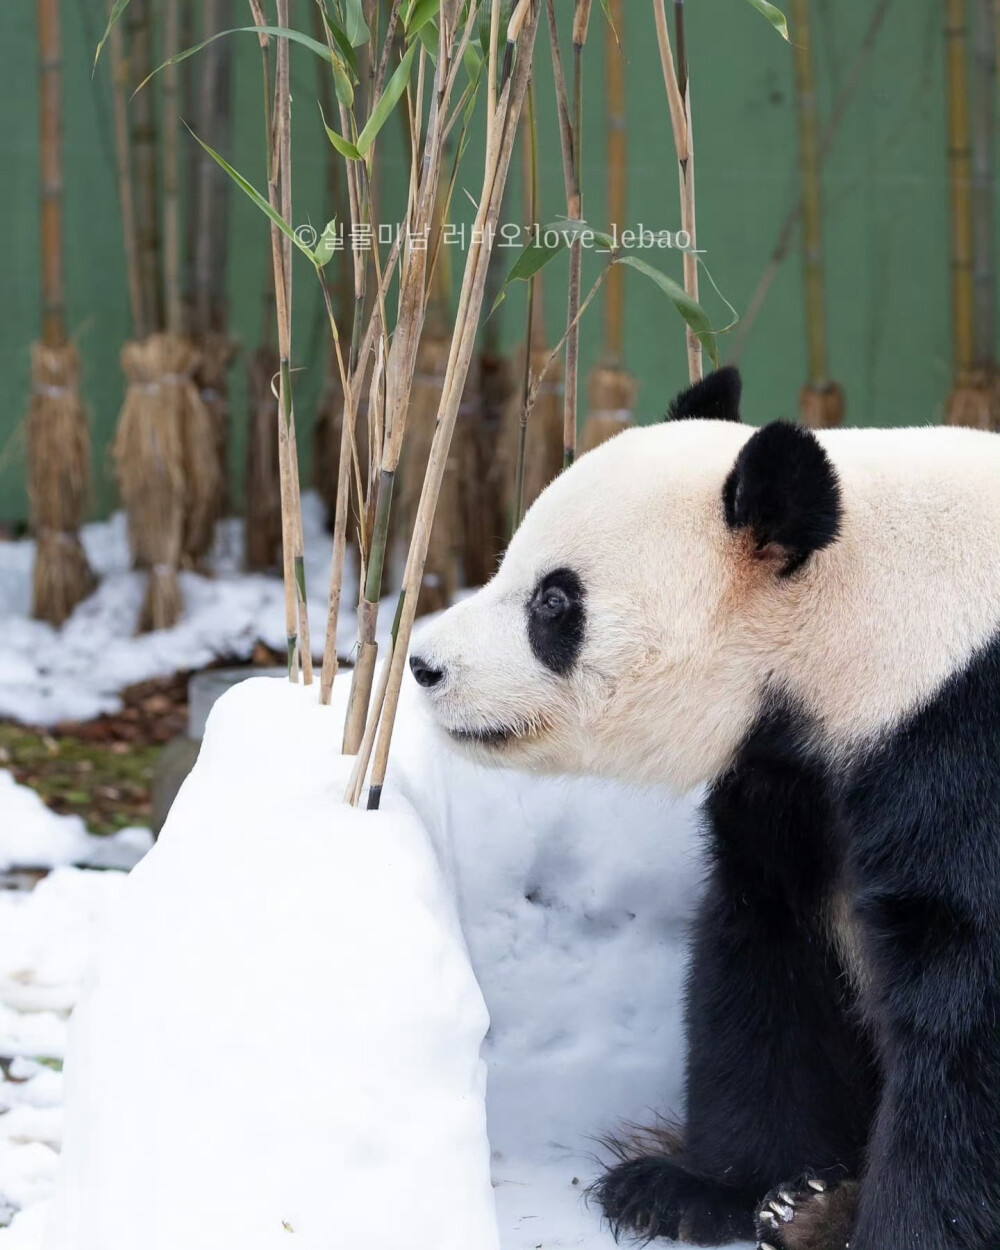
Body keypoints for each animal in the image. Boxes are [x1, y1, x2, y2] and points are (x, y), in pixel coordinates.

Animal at [405, 367, 1000, 1250]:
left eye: (554, 603)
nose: (425, 665)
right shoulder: (789, 781)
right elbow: (762, 956)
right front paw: (696, 1189)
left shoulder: (965, 742)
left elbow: (971, 1007)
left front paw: (909, 1229)